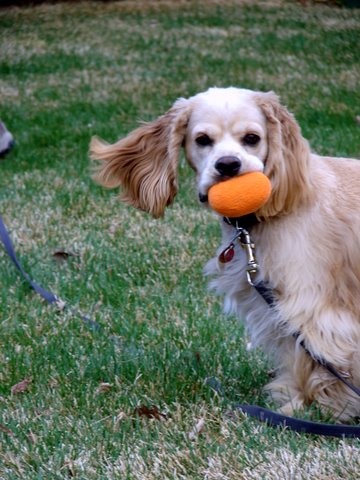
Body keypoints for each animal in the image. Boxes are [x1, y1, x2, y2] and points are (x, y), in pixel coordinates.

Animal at [90, 87, 360, 420]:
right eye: (203, 139)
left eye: (252, 138)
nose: (228, 164)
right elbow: (299, 354)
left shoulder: (314, 303)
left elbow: (318, 360)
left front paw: (316, 409)